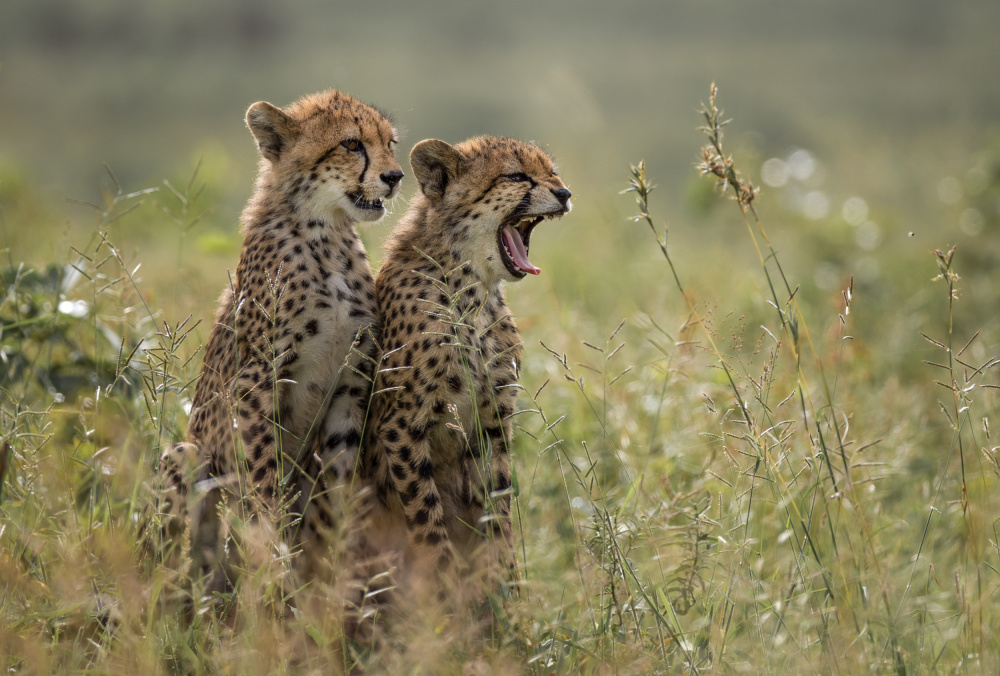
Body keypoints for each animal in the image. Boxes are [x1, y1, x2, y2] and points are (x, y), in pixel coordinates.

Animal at [151, 89, 403, 585]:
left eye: (391, 143)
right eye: (351, 144)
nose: (395, 176)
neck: (327, 236)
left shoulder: (352, 381)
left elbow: (338, 486)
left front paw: (334, 565)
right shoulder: (255, 382)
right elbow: (265, 478)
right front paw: (275, 557)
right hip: (187, 453)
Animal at [361, 136, 572, 602]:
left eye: (553, 173)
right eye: (516, 176)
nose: (566, 194)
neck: (473, 291)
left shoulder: (494, 419)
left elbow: (499, 508)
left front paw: (504, 594)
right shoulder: (401, 424)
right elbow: (426, 512)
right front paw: (444, 592)